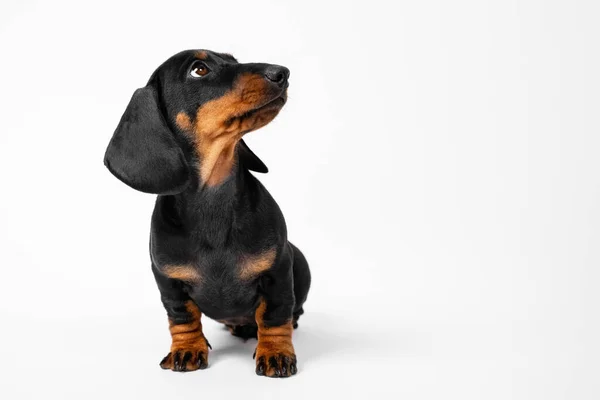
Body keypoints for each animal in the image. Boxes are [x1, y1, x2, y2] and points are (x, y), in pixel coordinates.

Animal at [104, 50, 310, 378]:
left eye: (233, 60)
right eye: (199, 69)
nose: (282, 72)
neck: (212, 198)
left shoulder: (278, 271)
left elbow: (275, 316)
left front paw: (276, 353)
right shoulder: (169, 282)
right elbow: (182, 317)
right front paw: (186, 349)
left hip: (299, 259)